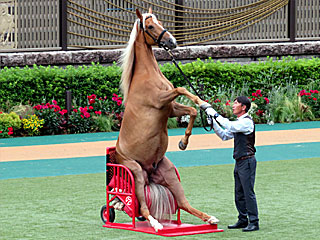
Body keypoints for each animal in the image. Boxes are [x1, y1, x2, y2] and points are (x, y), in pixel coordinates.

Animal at [113, 8, 220, 232]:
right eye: (150, 26)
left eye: (160, 22)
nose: (172, 41)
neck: (147, 75)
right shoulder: (160, 101)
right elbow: (182, 88)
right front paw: (203, 103)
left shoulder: (170, 109)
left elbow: (191, 110)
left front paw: (183, 142)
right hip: (136, 174)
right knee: (143, 207)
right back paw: (155, 224)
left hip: (168, 173)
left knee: (183, 203)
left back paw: (209, 219)